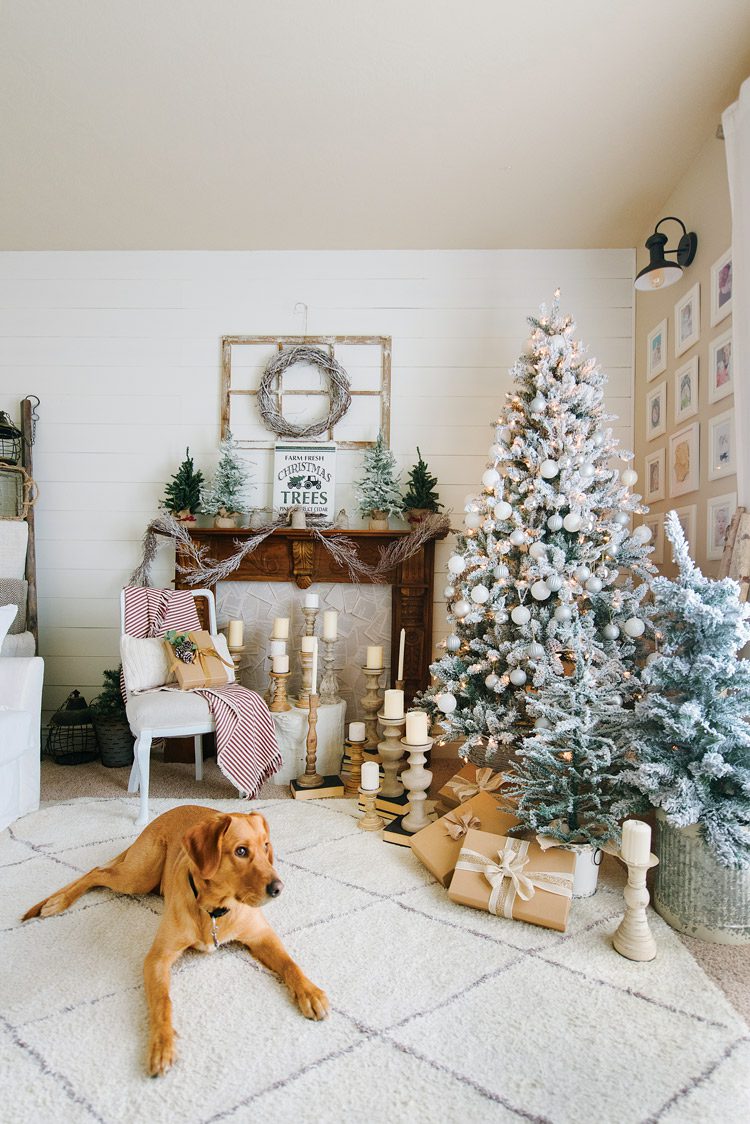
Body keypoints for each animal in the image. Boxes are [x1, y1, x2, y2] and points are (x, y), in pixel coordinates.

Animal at [22, 804, 328, 1074]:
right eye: (241, 851)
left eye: (266, 846)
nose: (279, 888)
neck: (215, 909)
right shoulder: (157, 957)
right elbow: (162, 1002)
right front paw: (162, 1044)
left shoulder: (262, 936)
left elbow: (290, 964)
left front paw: (310, 993)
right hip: (138, 876)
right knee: (97, 872)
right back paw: (57, 902)